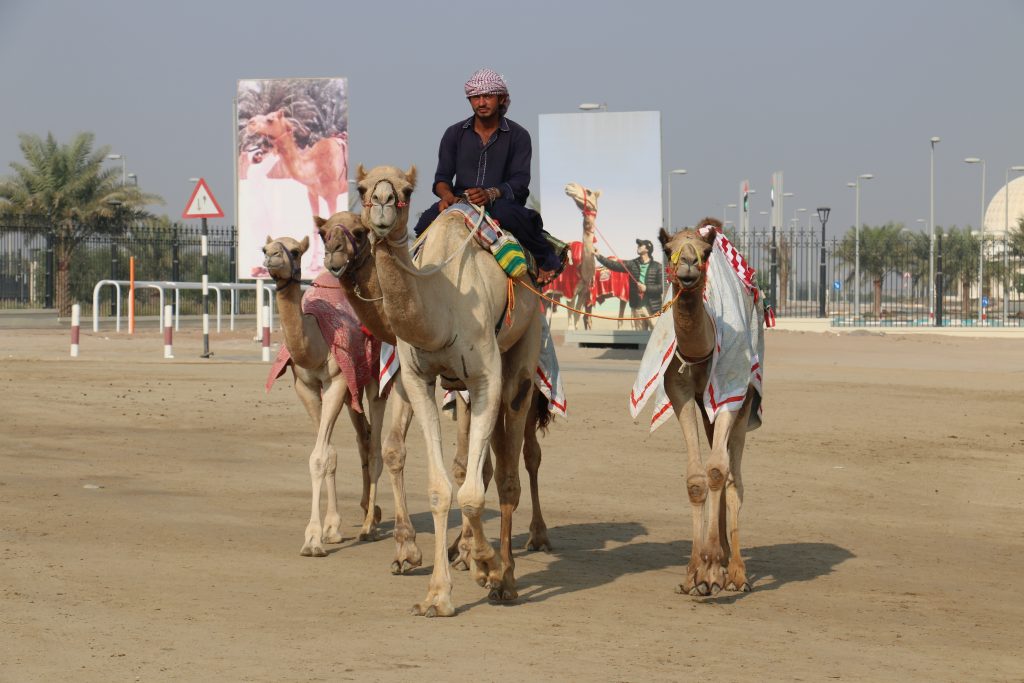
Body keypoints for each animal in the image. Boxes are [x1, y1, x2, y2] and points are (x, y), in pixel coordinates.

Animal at [262, 233, 385, 557]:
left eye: (294, 251)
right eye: (265, 248)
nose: (271, 257)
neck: (314, 339)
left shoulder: (337, 380)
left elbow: (319, 457)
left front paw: (313, 540)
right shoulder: (305, 386)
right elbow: (328, 453)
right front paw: (331, 529)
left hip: (375, 377)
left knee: (376, 446)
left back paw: (369, 526)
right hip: (353, 389)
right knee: (364, 436)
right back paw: (371, 512)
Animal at [317, 211, 552, 573]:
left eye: (358, 232)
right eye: (323, 233)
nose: (334, 257)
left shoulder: (478, 374)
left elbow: (473, 464)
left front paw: (471, 553)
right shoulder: (407, 373)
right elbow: (394, 450)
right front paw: (407, 549)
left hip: (525, 349)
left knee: (527, 451)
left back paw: (531, 539)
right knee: (488, 460)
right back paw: (465, 548)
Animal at [360, 162, 548, 618]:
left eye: (406, 190)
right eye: (361, 188)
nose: (382, 205)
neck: (443, 305)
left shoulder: (485, 378)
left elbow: (473, 493)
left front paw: (485, 564)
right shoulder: (418, 380)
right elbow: (442, 489)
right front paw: (437, 595)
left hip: (524, 349)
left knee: (510, 473)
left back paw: (506, 580)